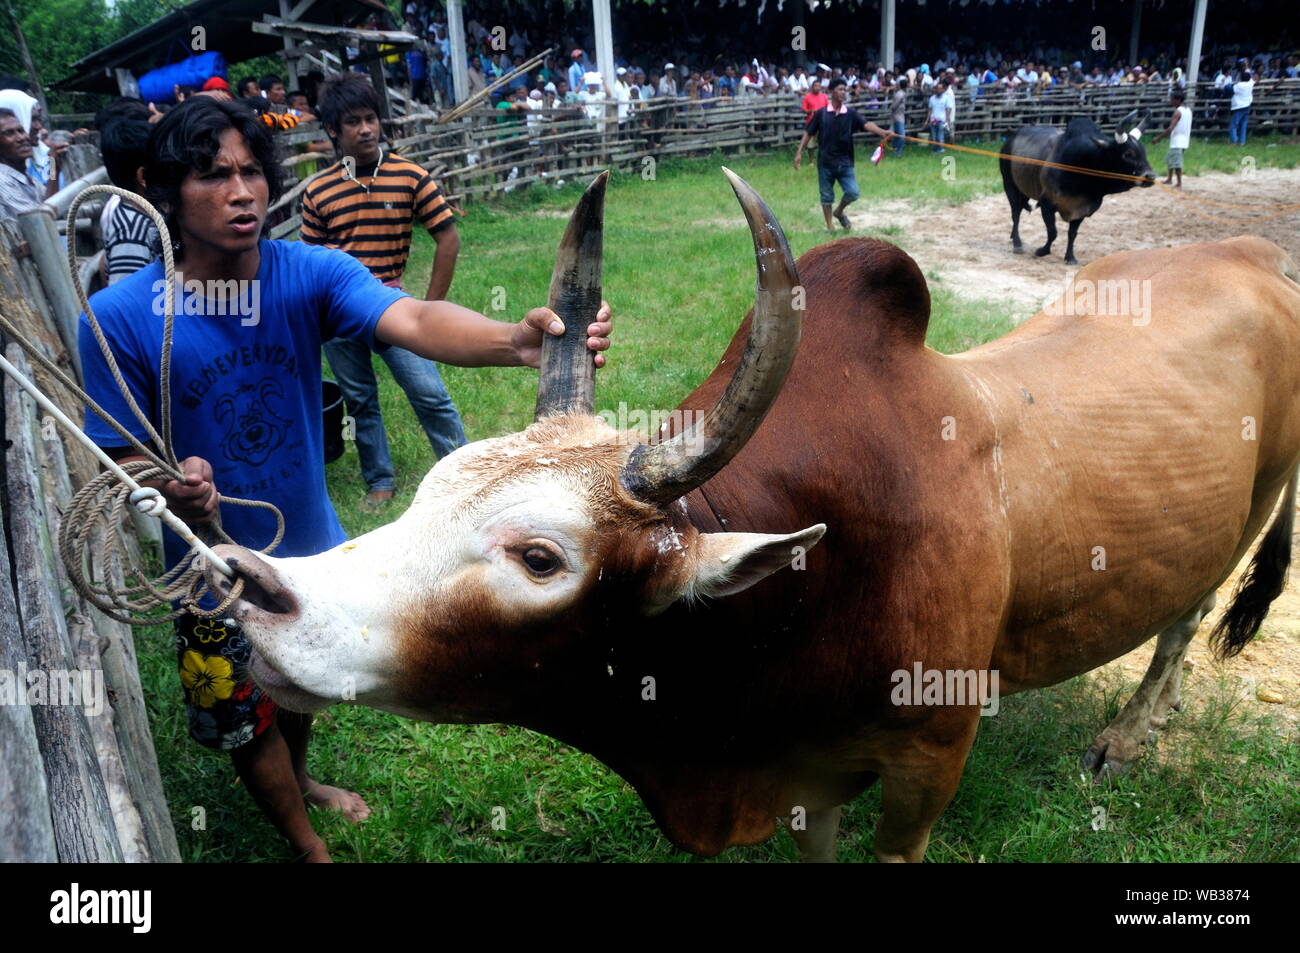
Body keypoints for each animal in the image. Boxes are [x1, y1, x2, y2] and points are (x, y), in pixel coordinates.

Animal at [208, 172, 1300, 863]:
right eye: (437, 484)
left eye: (539, 556)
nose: (258, 587)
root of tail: (1251, 248)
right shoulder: (807, 772)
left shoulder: (927, 768)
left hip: (1256, 504)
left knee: (1186, 618)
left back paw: (1130, 733)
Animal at [998, 115, 1154, 263]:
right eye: (1128, 154)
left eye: (1144, 152)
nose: (1150, 176)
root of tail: (1011, 138)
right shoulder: (1047, 203)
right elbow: (1053, 232)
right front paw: (1042, 251)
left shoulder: (1082, 210)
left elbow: (1072, 234)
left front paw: (1070, 257)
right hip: (1009, 185)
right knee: (1016, 214)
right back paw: (1017, 244)